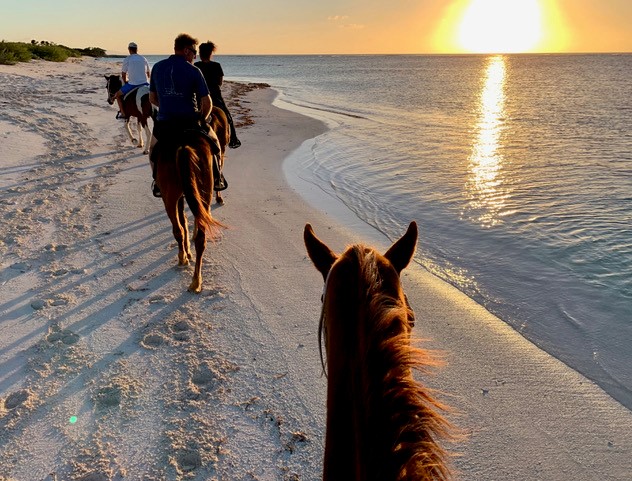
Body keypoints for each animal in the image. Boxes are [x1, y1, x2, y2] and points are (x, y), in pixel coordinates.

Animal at [155, 129, 225, 290]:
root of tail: (183, 145)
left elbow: (182, 221)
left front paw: (187, 253)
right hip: (204, 190)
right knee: (200, 237)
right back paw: (196, 281)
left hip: (169, 196)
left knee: (178, 229)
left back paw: (183, 259)